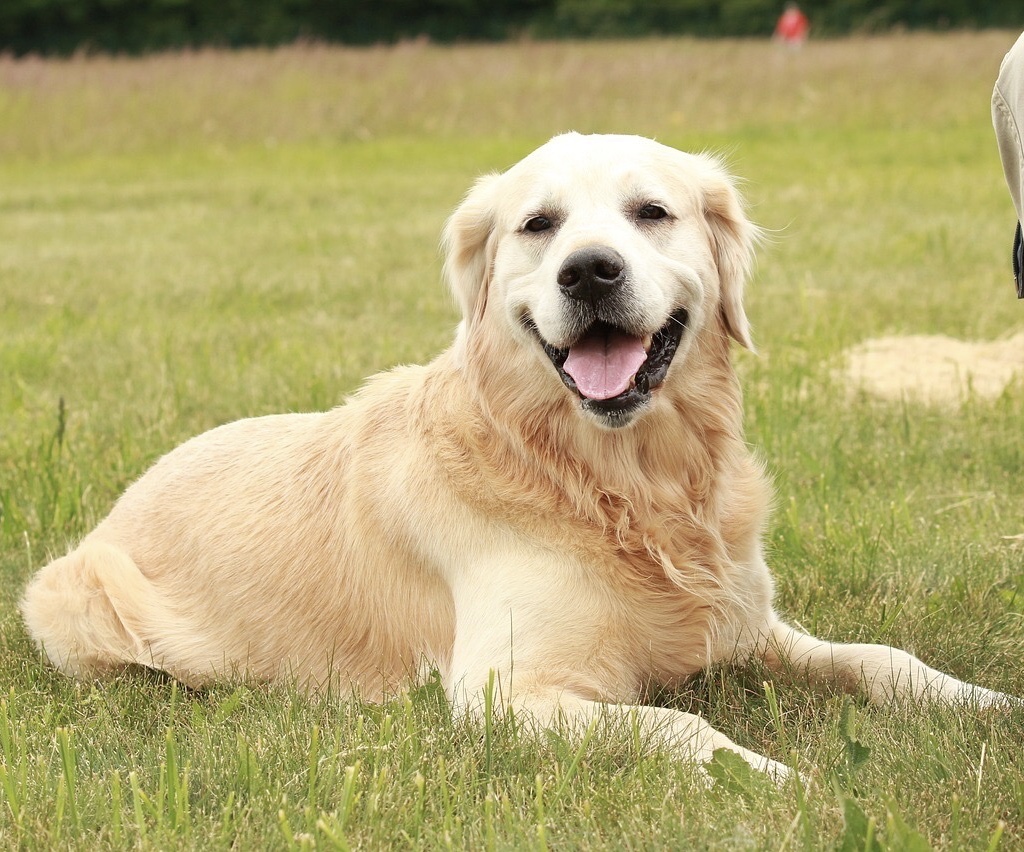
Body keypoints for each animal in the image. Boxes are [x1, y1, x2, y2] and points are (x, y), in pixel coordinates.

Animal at [19, 131, 1011, 778]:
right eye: (539, 226)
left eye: (652, 212)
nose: (590, 270)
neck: (620, 481)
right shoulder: (502, 691)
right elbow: (676, 728)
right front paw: (778, 782)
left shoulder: (744, 622)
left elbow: (884, 659)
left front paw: (994, 708)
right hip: (69, 599)